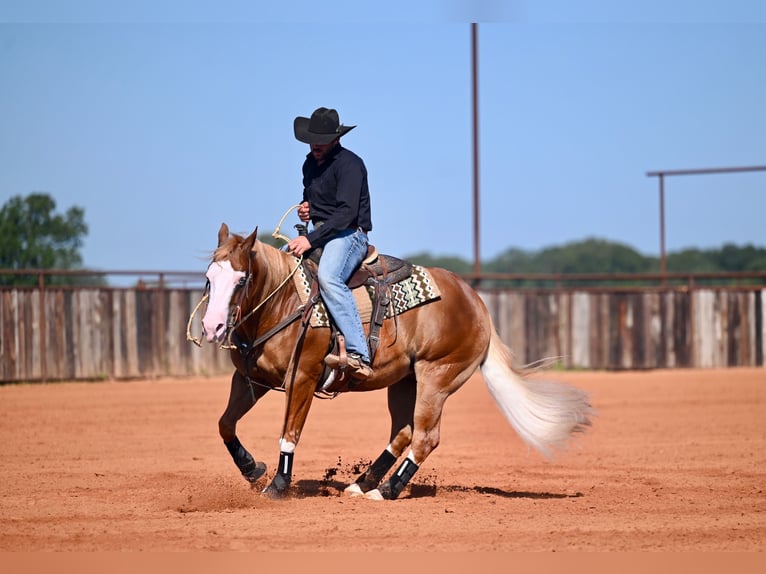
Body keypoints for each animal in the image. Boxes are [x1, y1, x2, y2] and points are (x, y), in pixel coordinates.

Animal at [194, 222, 593, 500]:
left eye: (241, 279)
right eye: (209, 276)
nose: (212, 326)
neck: (284, 302)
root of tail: (477, 303)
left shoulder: (302, 376)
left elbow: (289, 434)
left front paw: (277, 485)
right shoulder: (252, 380)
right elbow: (224, 424)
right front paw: (252, 469)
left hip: (437, 377)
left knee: (426, 437)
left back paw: (386, 490)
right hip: (405, 380)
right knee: (402, 432)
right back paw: (363, 483)